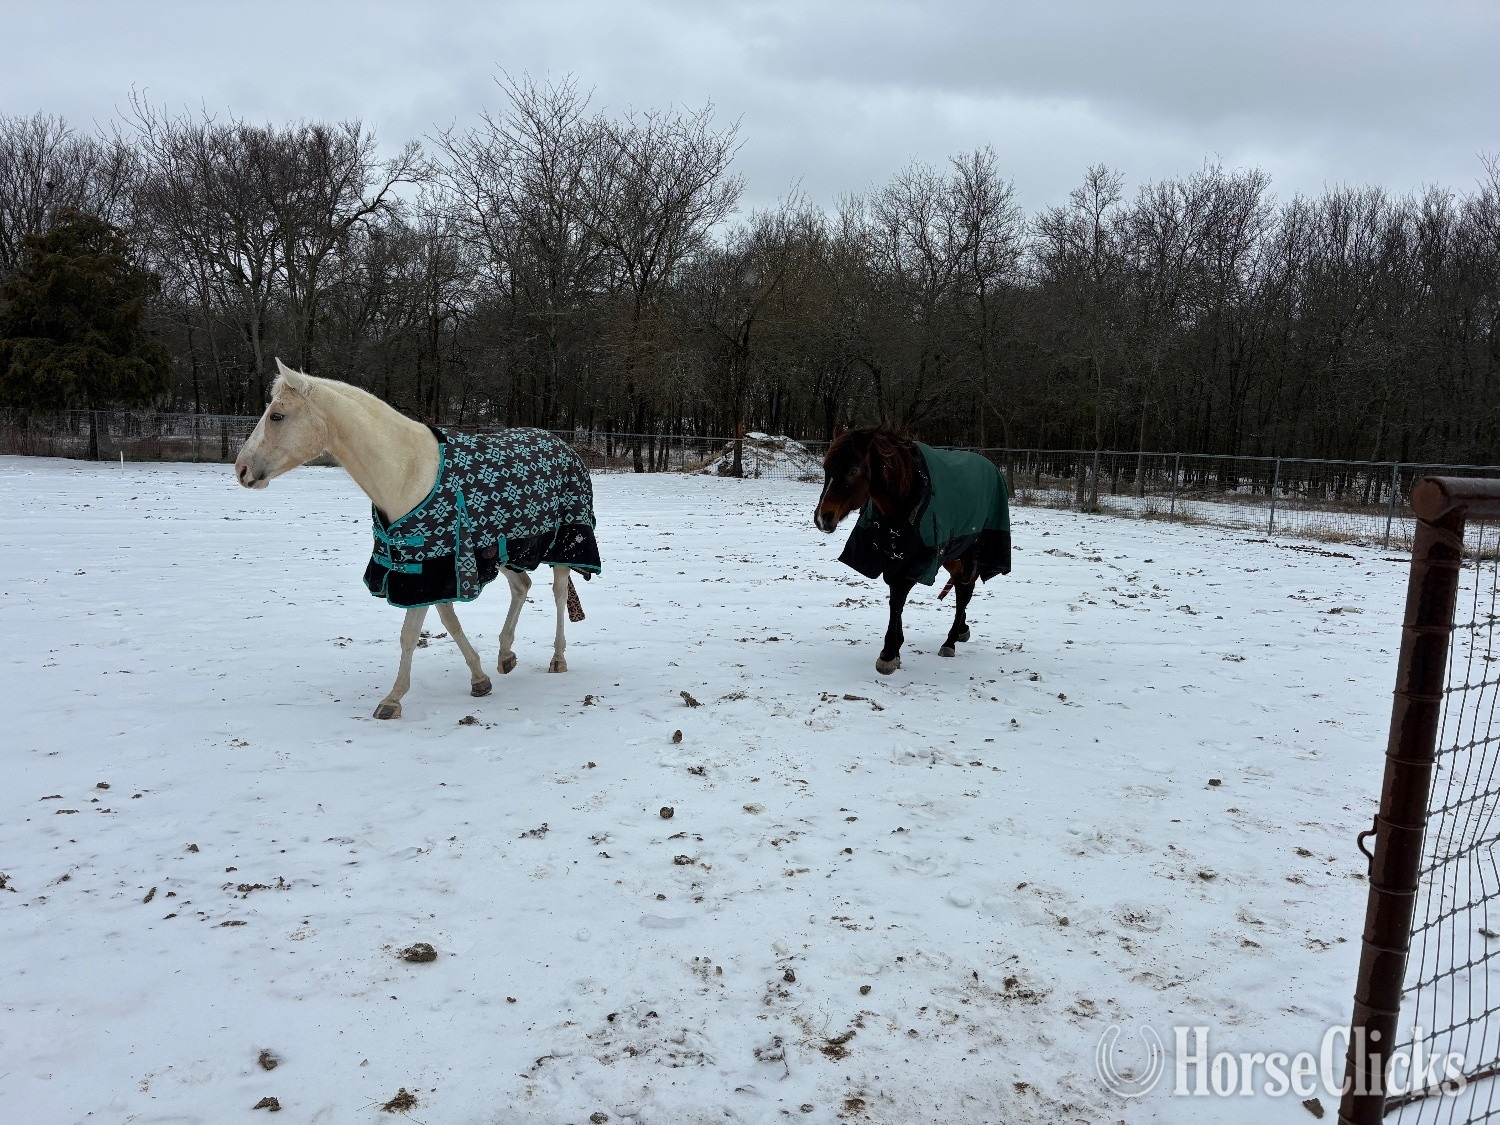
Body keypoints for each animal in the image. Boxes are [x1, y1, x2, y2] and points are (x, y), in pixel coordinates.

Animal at [234, 359, 601, 719]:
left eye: (277, 415)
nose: (241, 470)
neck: (407, 470)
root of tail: (565, 446)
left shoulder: (429, 567)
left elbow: (410, 633)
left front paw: (392, 699)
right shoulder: (429, 567)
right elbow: (449, 622)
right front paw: (479, 679)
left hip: (565, 543)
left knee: (557, 593)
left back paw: (557, 658)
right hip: (505, 550)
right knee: (521, 586)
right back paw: (505, 655)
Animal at [813, 426, 1011, 675]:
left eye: (853, 469)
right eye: (826, 468)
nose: (822, 518)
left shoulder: (917, 560)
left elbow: (898, 598)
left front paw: (889, 654)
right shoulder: (891, 555)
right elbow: (894, 597)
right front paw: (896, 647)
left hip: (969, 554)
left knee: (964, 592)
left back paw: (950, 642)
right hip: (953, 555)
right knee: (960, 587)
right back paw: (961, 630)